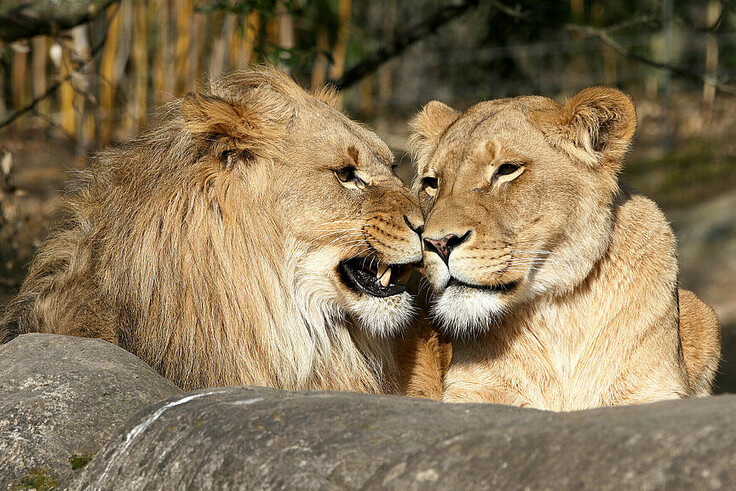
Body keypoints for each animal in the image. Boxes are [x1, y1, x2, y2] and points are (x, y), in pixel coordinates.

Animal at [409, 87, 721, 410]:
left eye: (507, 170)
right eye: (431, 183)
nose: (438, 243)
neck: (559, 315)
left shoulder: (654, 390)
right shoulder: (472, 392)